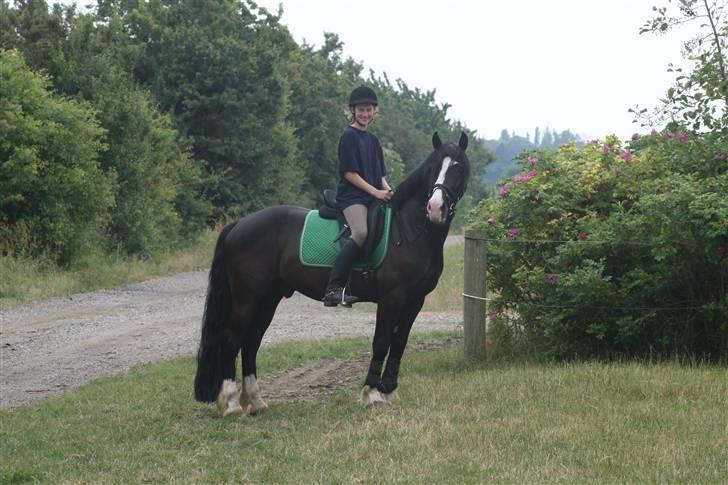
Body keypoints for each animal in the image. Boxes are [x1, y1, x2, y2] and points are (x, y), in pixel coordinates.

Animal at [192, 130, 472, 414]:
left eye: (458, 168)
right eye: (432, 168)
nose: (435, 208)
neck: (407, 230)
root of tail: (239, 224)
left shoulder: (415, 300)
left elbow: (399, 342)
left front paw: (389, 390)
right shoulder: (391, 298)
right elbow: (381, 341)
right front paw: (372, 392)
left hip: (268, 298)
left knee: (251, 343)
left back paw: (256, 401)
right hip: (247, 298)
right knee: (232, 341)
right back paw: (230, 403)